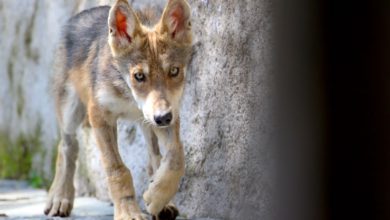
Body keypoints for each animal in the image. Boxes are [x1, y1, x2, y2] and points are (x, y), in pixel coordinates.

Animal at [43, 0, 193, 219]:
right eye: (139, 76)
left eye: (174, 71)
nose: (163, 117)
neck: (128, 96)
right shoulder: (100, 116)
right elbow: (117, 170)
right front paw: (128, 212)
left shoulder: (167, 114)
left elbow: (176, 159)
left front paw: (156, 198)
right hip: (70, 111)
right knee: (67, 147)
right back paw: (59, 198)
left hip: (146, 123)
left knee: (154, 159)